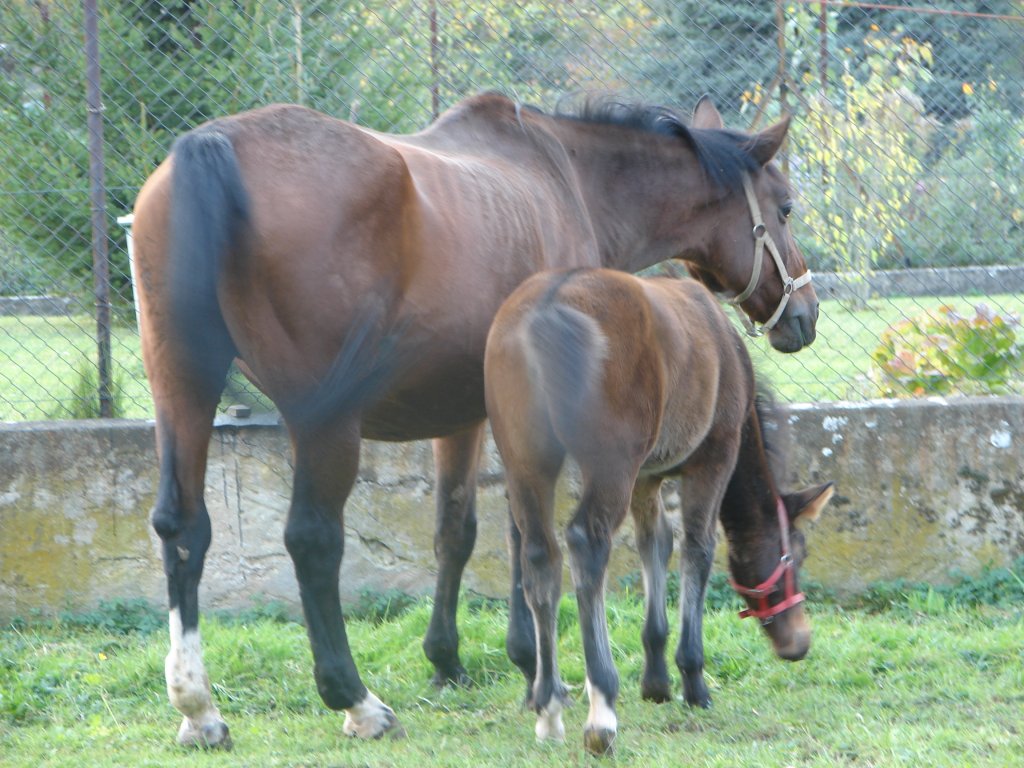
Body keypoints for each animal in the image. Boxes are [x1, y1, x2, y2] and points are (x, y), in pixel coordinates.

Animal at [481, 268, 831, 753]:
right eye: (795, 555)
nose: (797, 643)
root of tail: (544, 310)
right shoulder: (714, 455)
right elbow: (697, 548)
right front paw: (692, 679)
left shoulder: (647, 477)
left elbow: (656, 544)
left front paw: (656, 679)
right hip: (610, 465)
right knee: (586, 543)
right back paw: (601, 709)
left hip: (526, 463)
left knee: (539, 557)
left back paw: (548, 705)